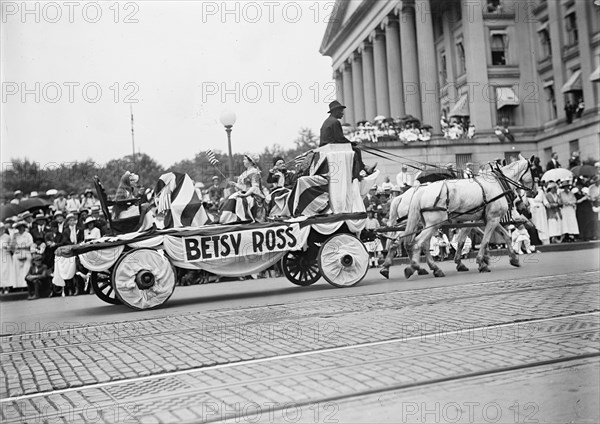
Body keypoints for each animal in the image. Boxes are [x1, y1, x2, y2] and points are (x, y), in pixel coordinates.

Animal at [400, 157, 532, 278]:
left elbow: (505, 235)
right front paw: (481, 262)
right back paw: (415, 267)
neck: (498, 184)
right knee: (418, 243)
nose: (530, 194)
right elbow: (483, 240)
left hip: (429, 225)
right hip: (434, 223)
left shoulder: (489, 219)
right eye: (533, 171)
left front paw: (513, 259)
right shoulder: (491, 219)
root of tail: (423, 190)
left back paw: (433, 268)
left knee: (425, 244)